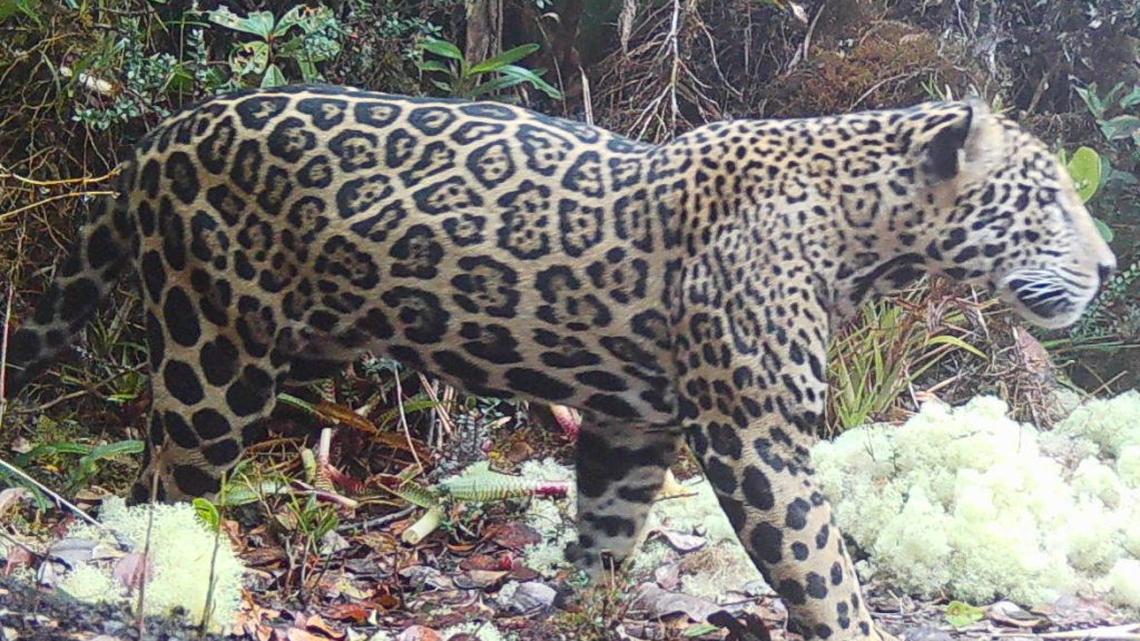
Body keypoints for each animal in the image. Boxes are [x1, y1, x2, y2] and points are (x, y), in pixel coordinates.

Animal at [1, 84, 1115, 640]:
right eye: (1049, 198)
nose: (1108, 267)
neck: (864, 230)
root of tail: (156, 139)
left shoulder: (633, 421)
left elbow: (608, 534)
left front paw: (583, 611)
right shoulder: (754, 436)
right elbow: (824, 571)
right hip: (214, 355)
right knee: (162, 491)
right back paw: (170, 586)